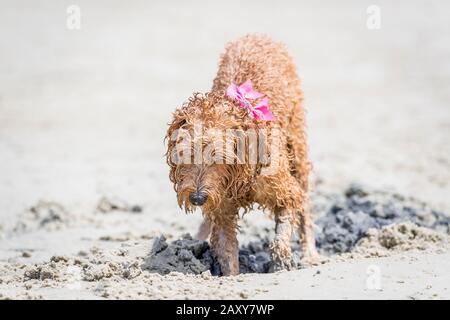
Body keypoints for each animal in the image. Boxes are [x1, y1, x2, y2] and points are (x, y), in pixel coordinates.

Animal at [166, 33, 320, 276]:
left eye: (218, 156)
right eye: (186, 154)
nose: (197, 198)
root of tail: (258, 35)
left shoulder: (286, 190)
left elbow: (283, 230)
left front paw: (281, 263)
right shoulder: (222, 208)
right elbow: (227, 250)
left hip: (297, 147)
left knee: (305, 203)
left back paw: (310, 253)